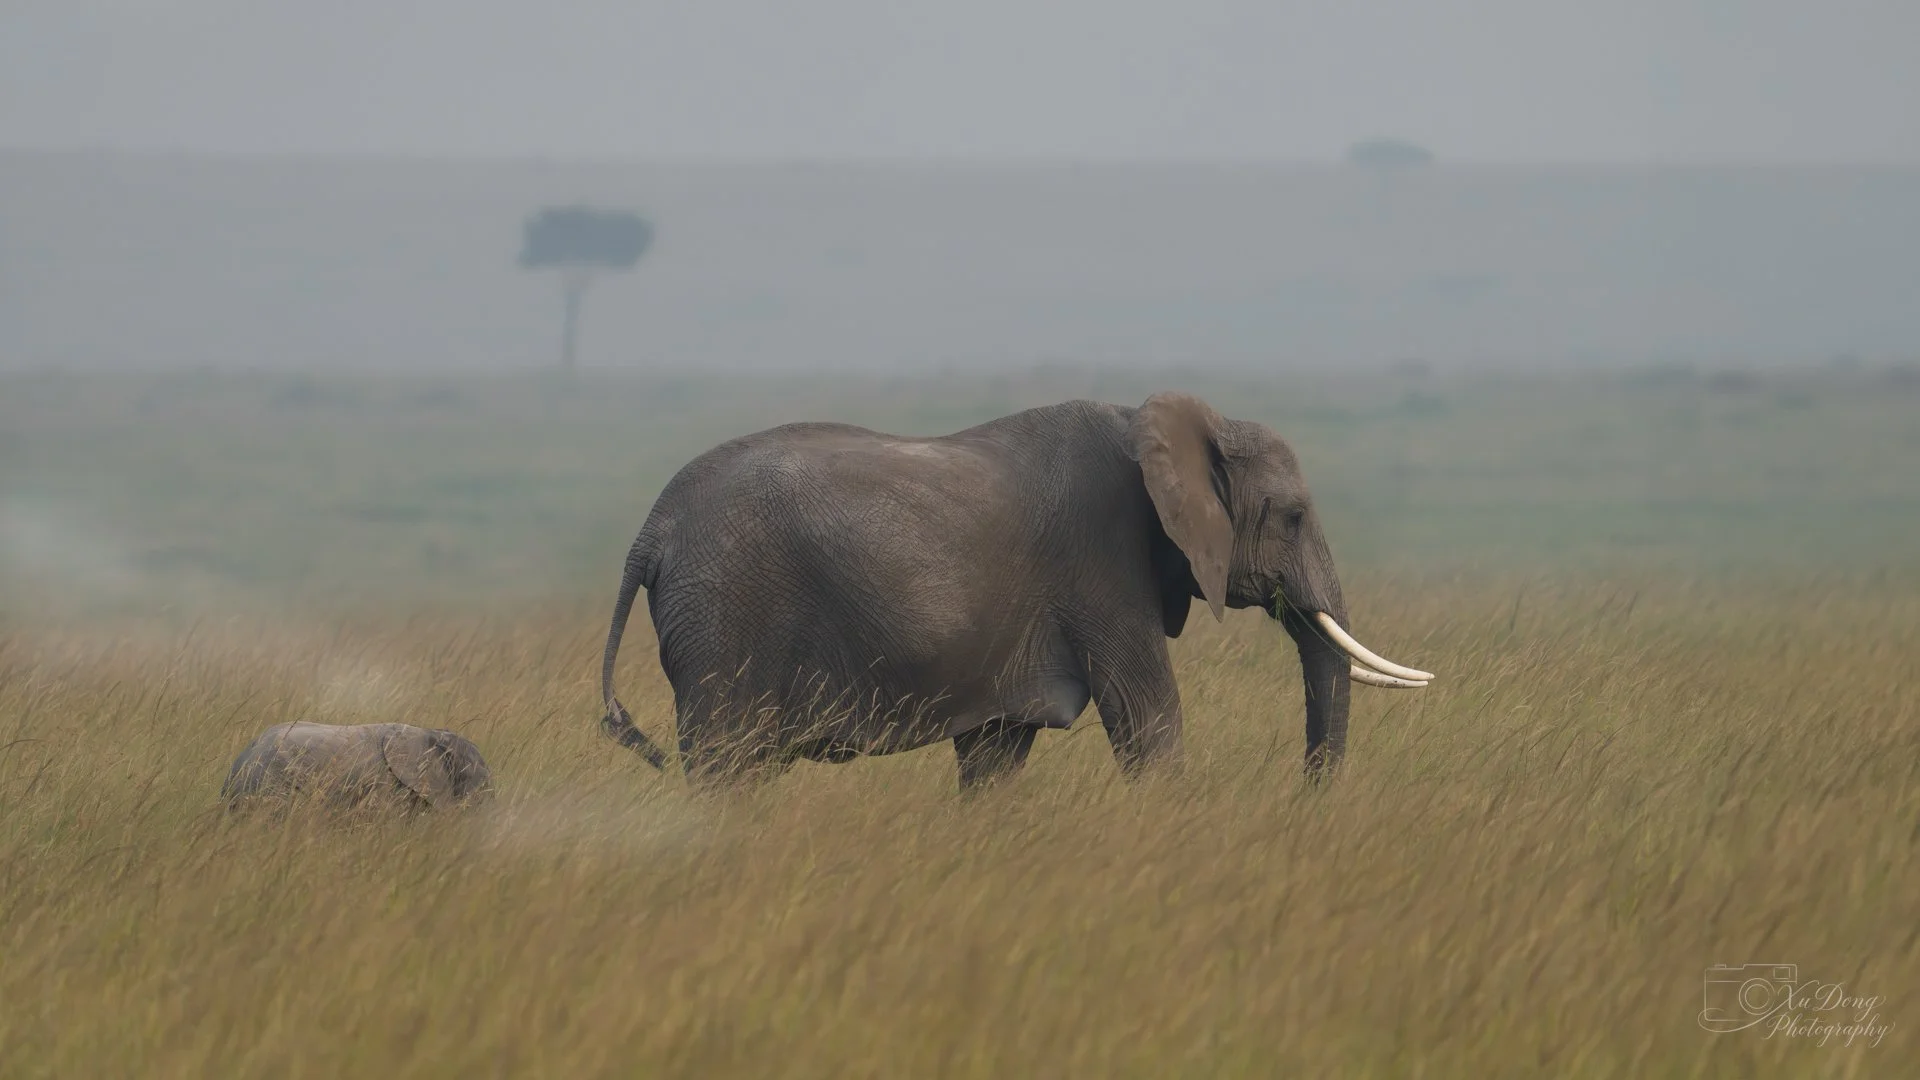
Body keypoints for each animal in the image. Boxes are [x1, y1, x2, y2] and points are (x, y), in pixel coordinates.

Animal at [598, 391, 1434, 791]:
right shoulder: (1103, 565)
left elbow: (996, 755)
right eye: (1291, 518)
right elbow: (1148, 719)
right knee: (727, 765)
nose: (1305, 803)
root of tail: (650, 529)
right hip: (725, 615)